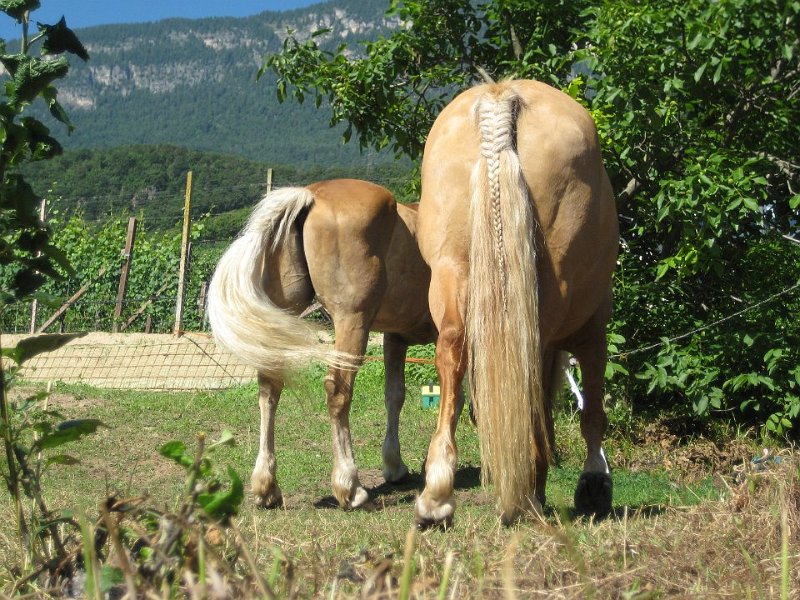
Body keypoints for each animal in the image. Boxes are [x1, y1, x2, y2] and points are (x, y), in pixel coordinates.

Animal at [206, 180, 438, 508]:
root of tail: (311, 195)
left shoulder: (394, 339)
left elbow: (395, 395)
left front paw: (395, 465)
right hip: (352, 323)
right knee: (338, 391)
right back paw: (349, 486)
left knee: (269, 391)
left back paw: (266, 486)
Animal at [416, 79, 620, 524]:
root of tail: (501, 98)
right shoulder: (594, 328)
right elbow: (589, 409)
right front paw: (594, 482)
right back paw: (523, 496)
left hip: (450, 274)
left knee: (452, 352)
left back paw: (437, 495)